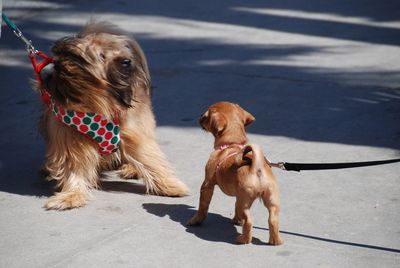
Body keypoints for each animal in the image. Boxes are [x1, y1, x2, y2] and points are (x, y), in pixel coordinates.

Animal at [35, 21, 188, 209]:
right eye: (101, 56)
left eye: (120, 51)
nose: (127, 61)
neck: (99, 99)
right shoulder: (70, 139)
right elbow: (73, 168)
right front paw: (71, 195)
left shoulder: (132, 132)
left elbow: (148, 158)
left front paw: (169, 185)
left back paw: (131, 169)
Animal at [187, 101, 282, 245]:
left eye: (206, 115)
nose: (200, 116)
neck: (232, 143)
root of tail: (257, 167)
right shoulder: (238, 195)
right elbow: (235, 207)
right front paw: (237, 220)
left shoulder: (207, 185)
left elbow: (203, 207)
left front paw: (195, 220)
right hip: (272, 200)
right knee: (273, 220)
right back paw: (275, 241)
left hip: (246, 202)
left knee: (249, 221)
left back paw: (243, 239)